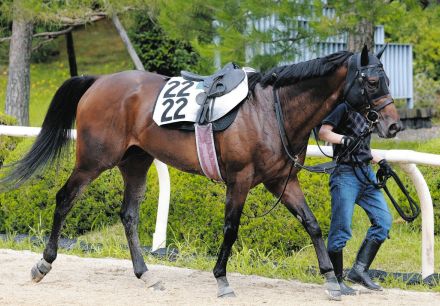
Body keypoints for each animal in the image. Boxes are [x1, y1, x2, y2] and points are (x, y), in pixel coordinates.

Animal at [1, 46, 402, 300]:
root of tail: (99, 81)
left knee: (128, 215)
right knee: (65, 198)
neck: (271, 110)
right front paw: (222, 279)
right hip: (94, 160)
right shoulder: (239, 180)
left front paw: (332, 280)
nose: (394, 125)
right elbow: (231, 229)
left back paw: (146, 274)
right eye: (371, 82)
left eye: (386, 80)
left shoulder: (281, 181)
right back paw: (43, 263)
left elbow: (313, 224)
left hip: (135, 161)